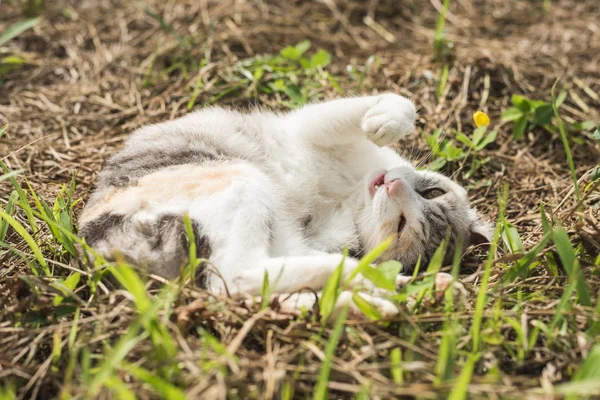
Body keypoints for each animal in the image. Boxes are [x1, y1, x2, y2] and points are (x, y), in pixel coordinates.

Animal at [78, 94, 492, 316]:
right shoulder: (313, 126)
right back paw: (386, 292)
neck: (349, 195)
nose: (393, 186)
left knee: (236, 280)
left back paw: (392, 289)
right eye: (433, 192)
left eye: (402, 226)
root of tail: (99, 249)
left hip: (240, 184)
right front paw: (386, 120)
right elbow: (394, 104)